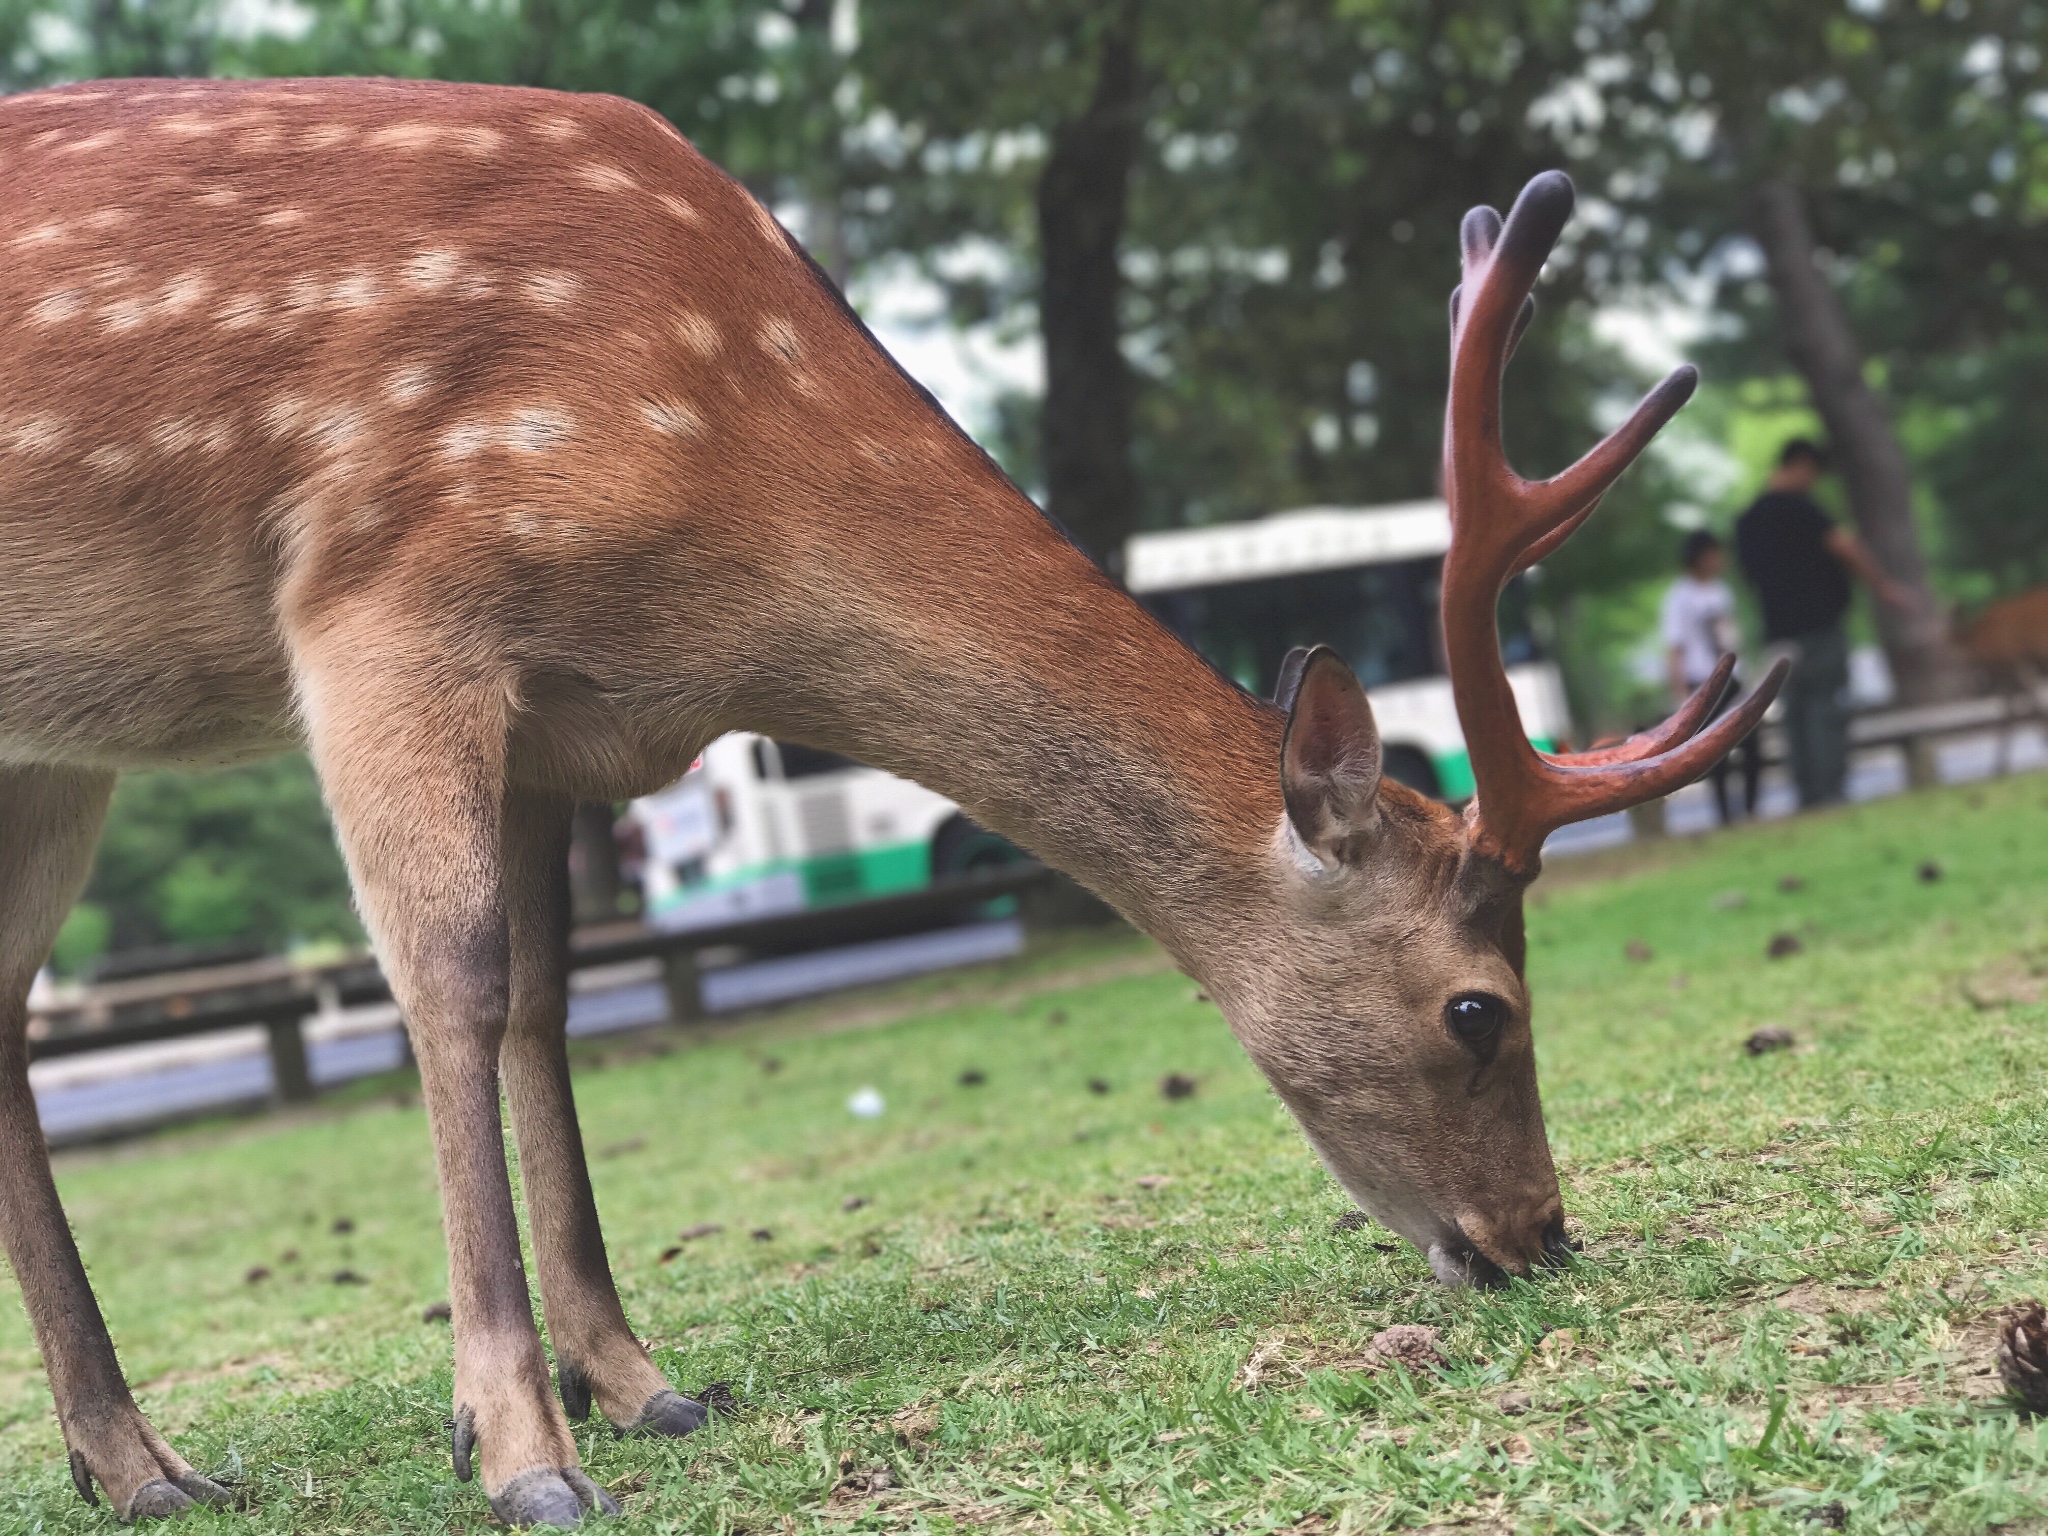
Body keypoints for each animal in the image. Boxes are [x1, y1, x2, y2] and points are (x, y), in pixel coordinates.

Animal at [0, 81, 1777, 1531]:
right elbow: (455, 982)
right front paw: (516, 1450)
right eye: (1481, 1008)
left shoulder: (565, 720)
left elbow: (548, 1012)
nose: (1539, 1233)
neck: (725, 560)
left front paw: (639, 1384)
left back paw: (137, 1464)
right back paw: (154, 1456)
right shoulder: (385, 597)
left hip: (52, 744)